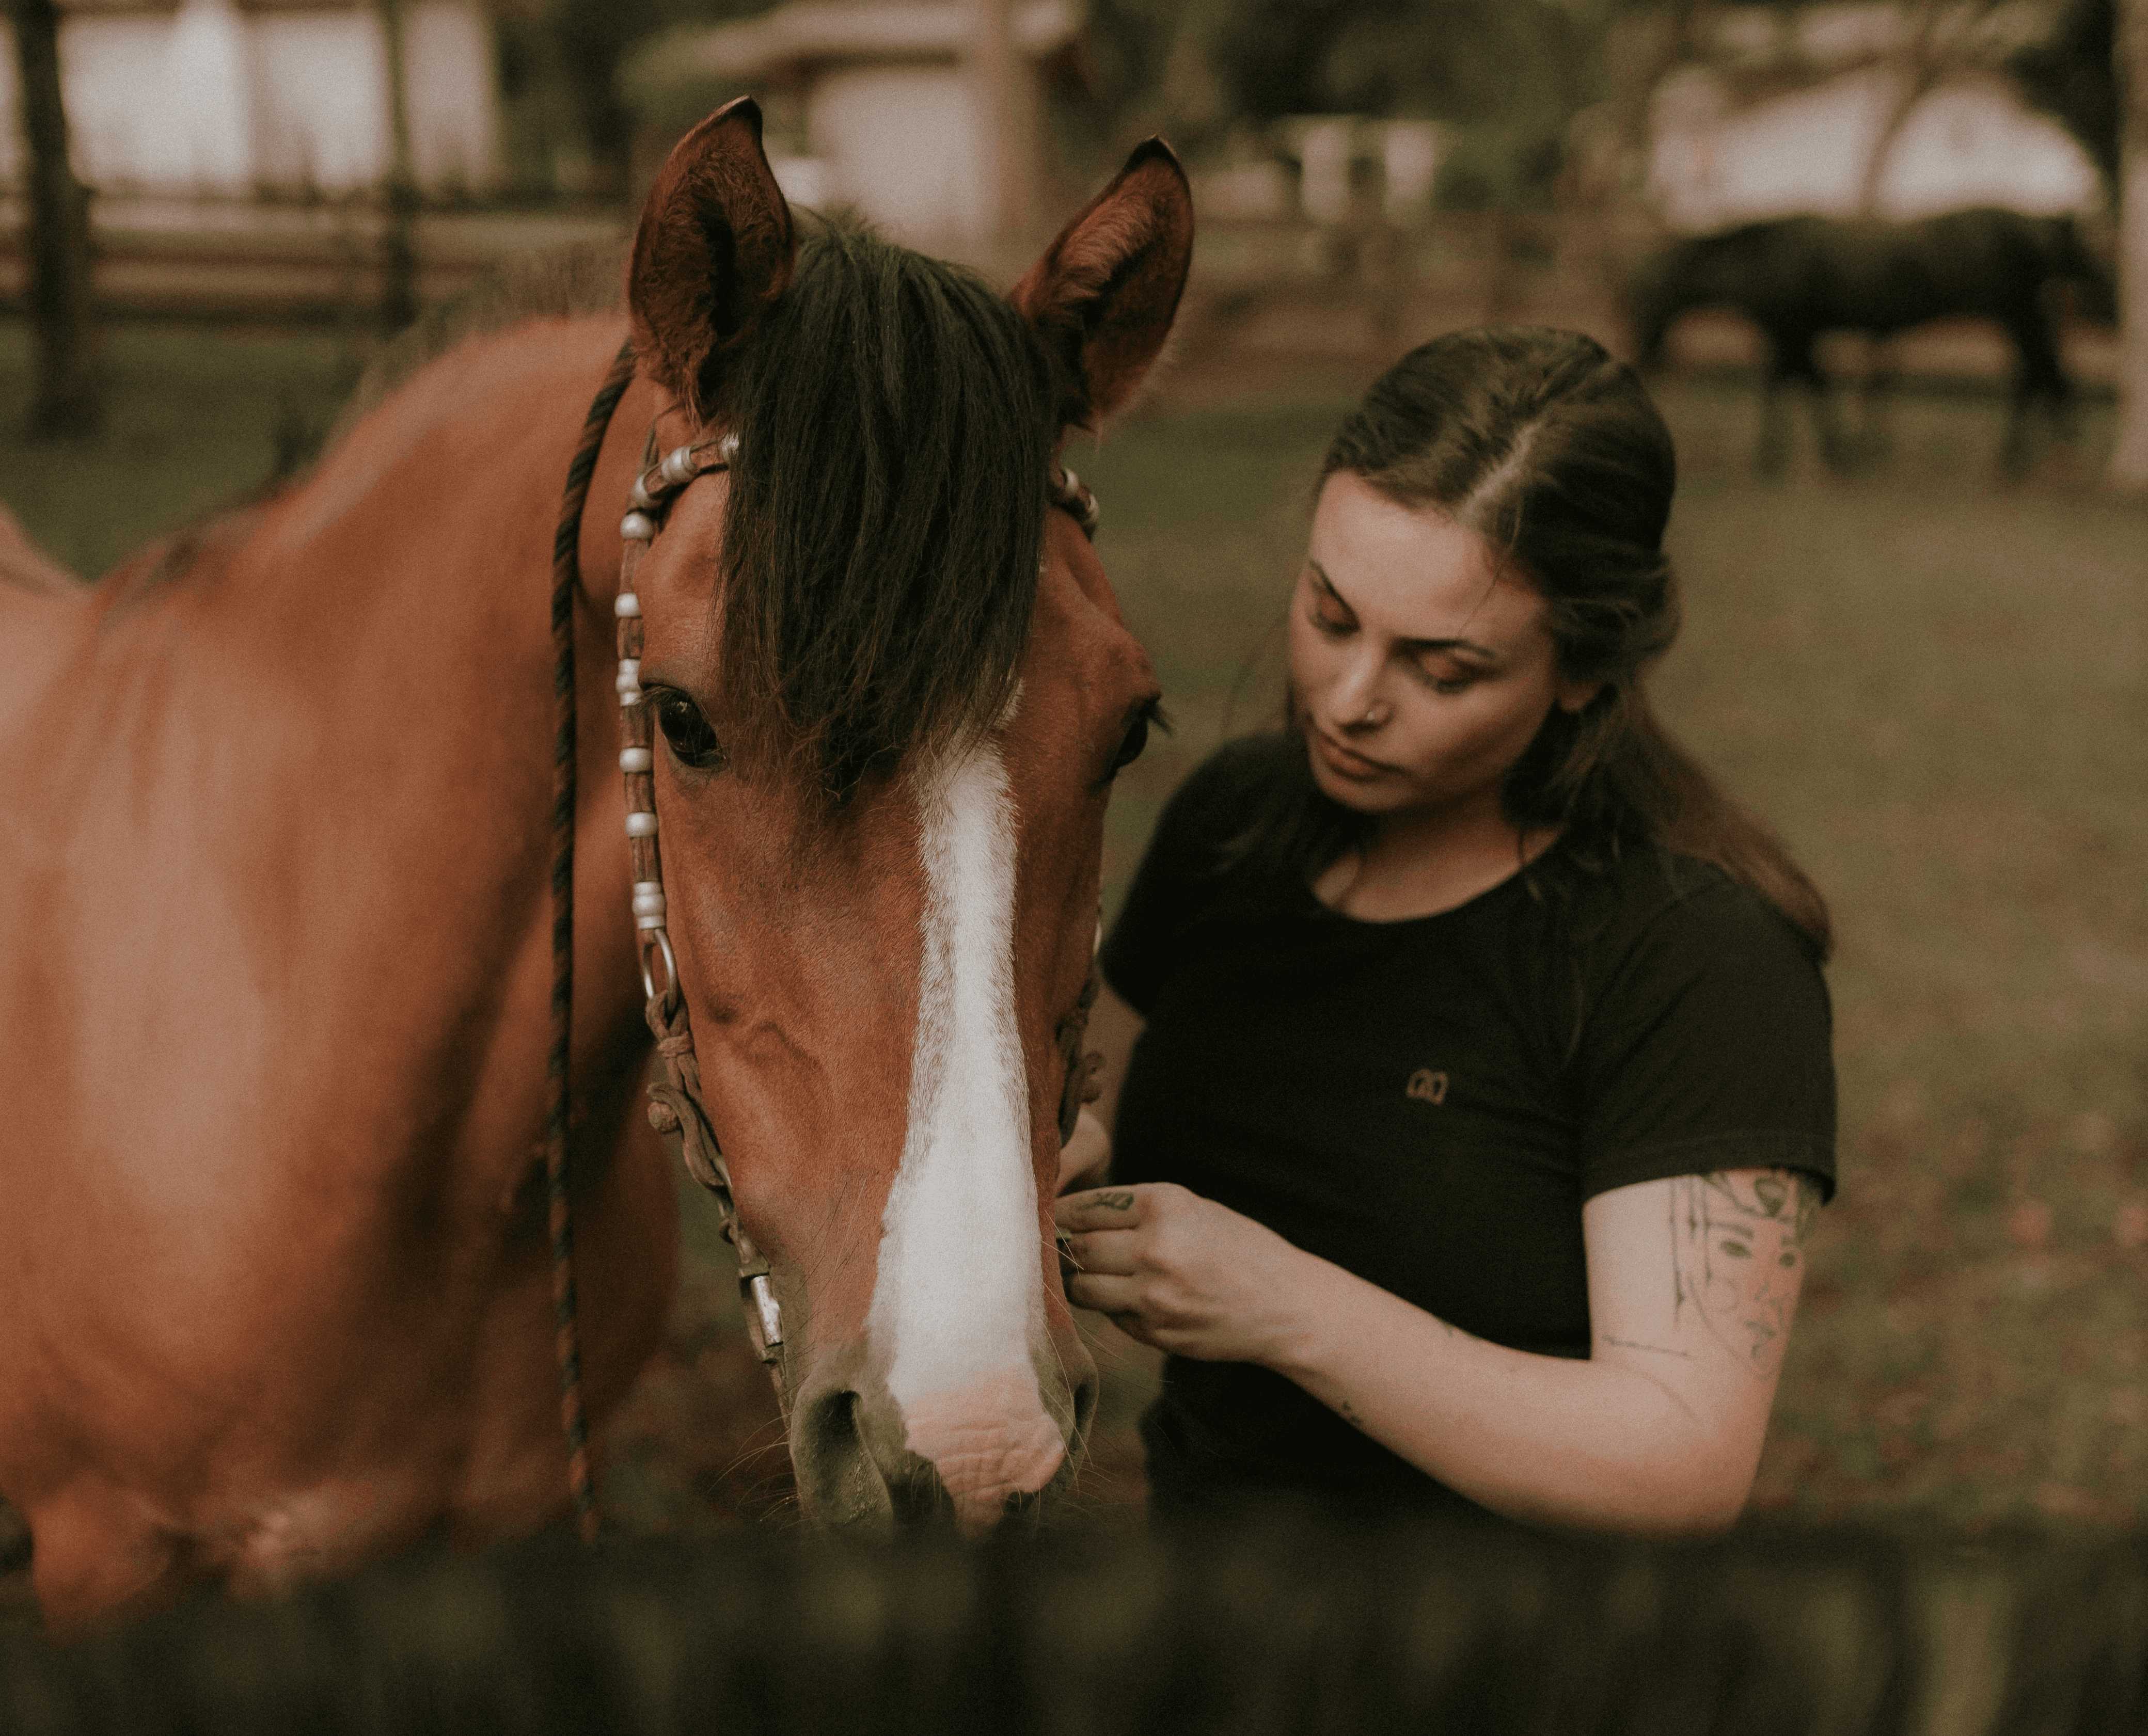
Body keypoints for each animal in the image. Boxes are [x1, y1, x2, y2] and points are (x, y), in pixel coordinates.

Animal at [1623, 206, 2111, 476]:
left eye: (1647, 300)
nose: (1644, 356)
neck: (1763, 255)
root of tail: (2042, 226)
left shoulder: (1795, 335)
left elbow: (1808, 387)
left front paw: (1829, 454)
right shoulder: (1789, 338)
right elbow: (1787, 386)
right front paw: (1787, 453)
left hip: (2016, 317)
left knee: (2039, 374)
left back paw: (2033, 457)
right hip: (2022, 319)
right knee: (2043, 375)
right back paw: (2040, 455)